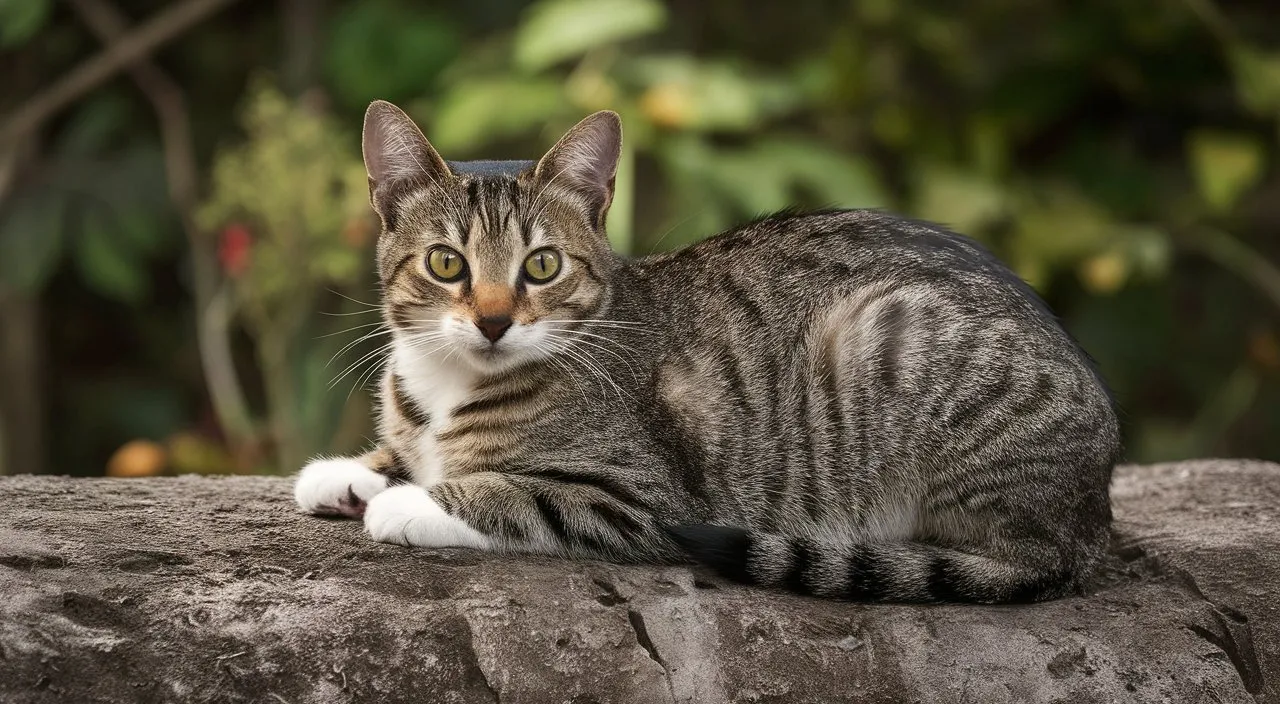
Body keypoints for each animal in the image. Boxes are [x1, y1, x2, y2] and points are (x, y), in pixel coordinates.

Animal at [296, 99, 1121, 606]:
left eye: (542, 265)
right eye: (446, 264)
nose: (495, 322)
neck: (450, 384)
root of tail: (1093, 519)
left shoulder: (639, 499)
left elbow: (513, 494)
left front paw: (409, 500)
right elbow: (407, 452)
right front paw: (354, 472)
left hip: (891, 339)